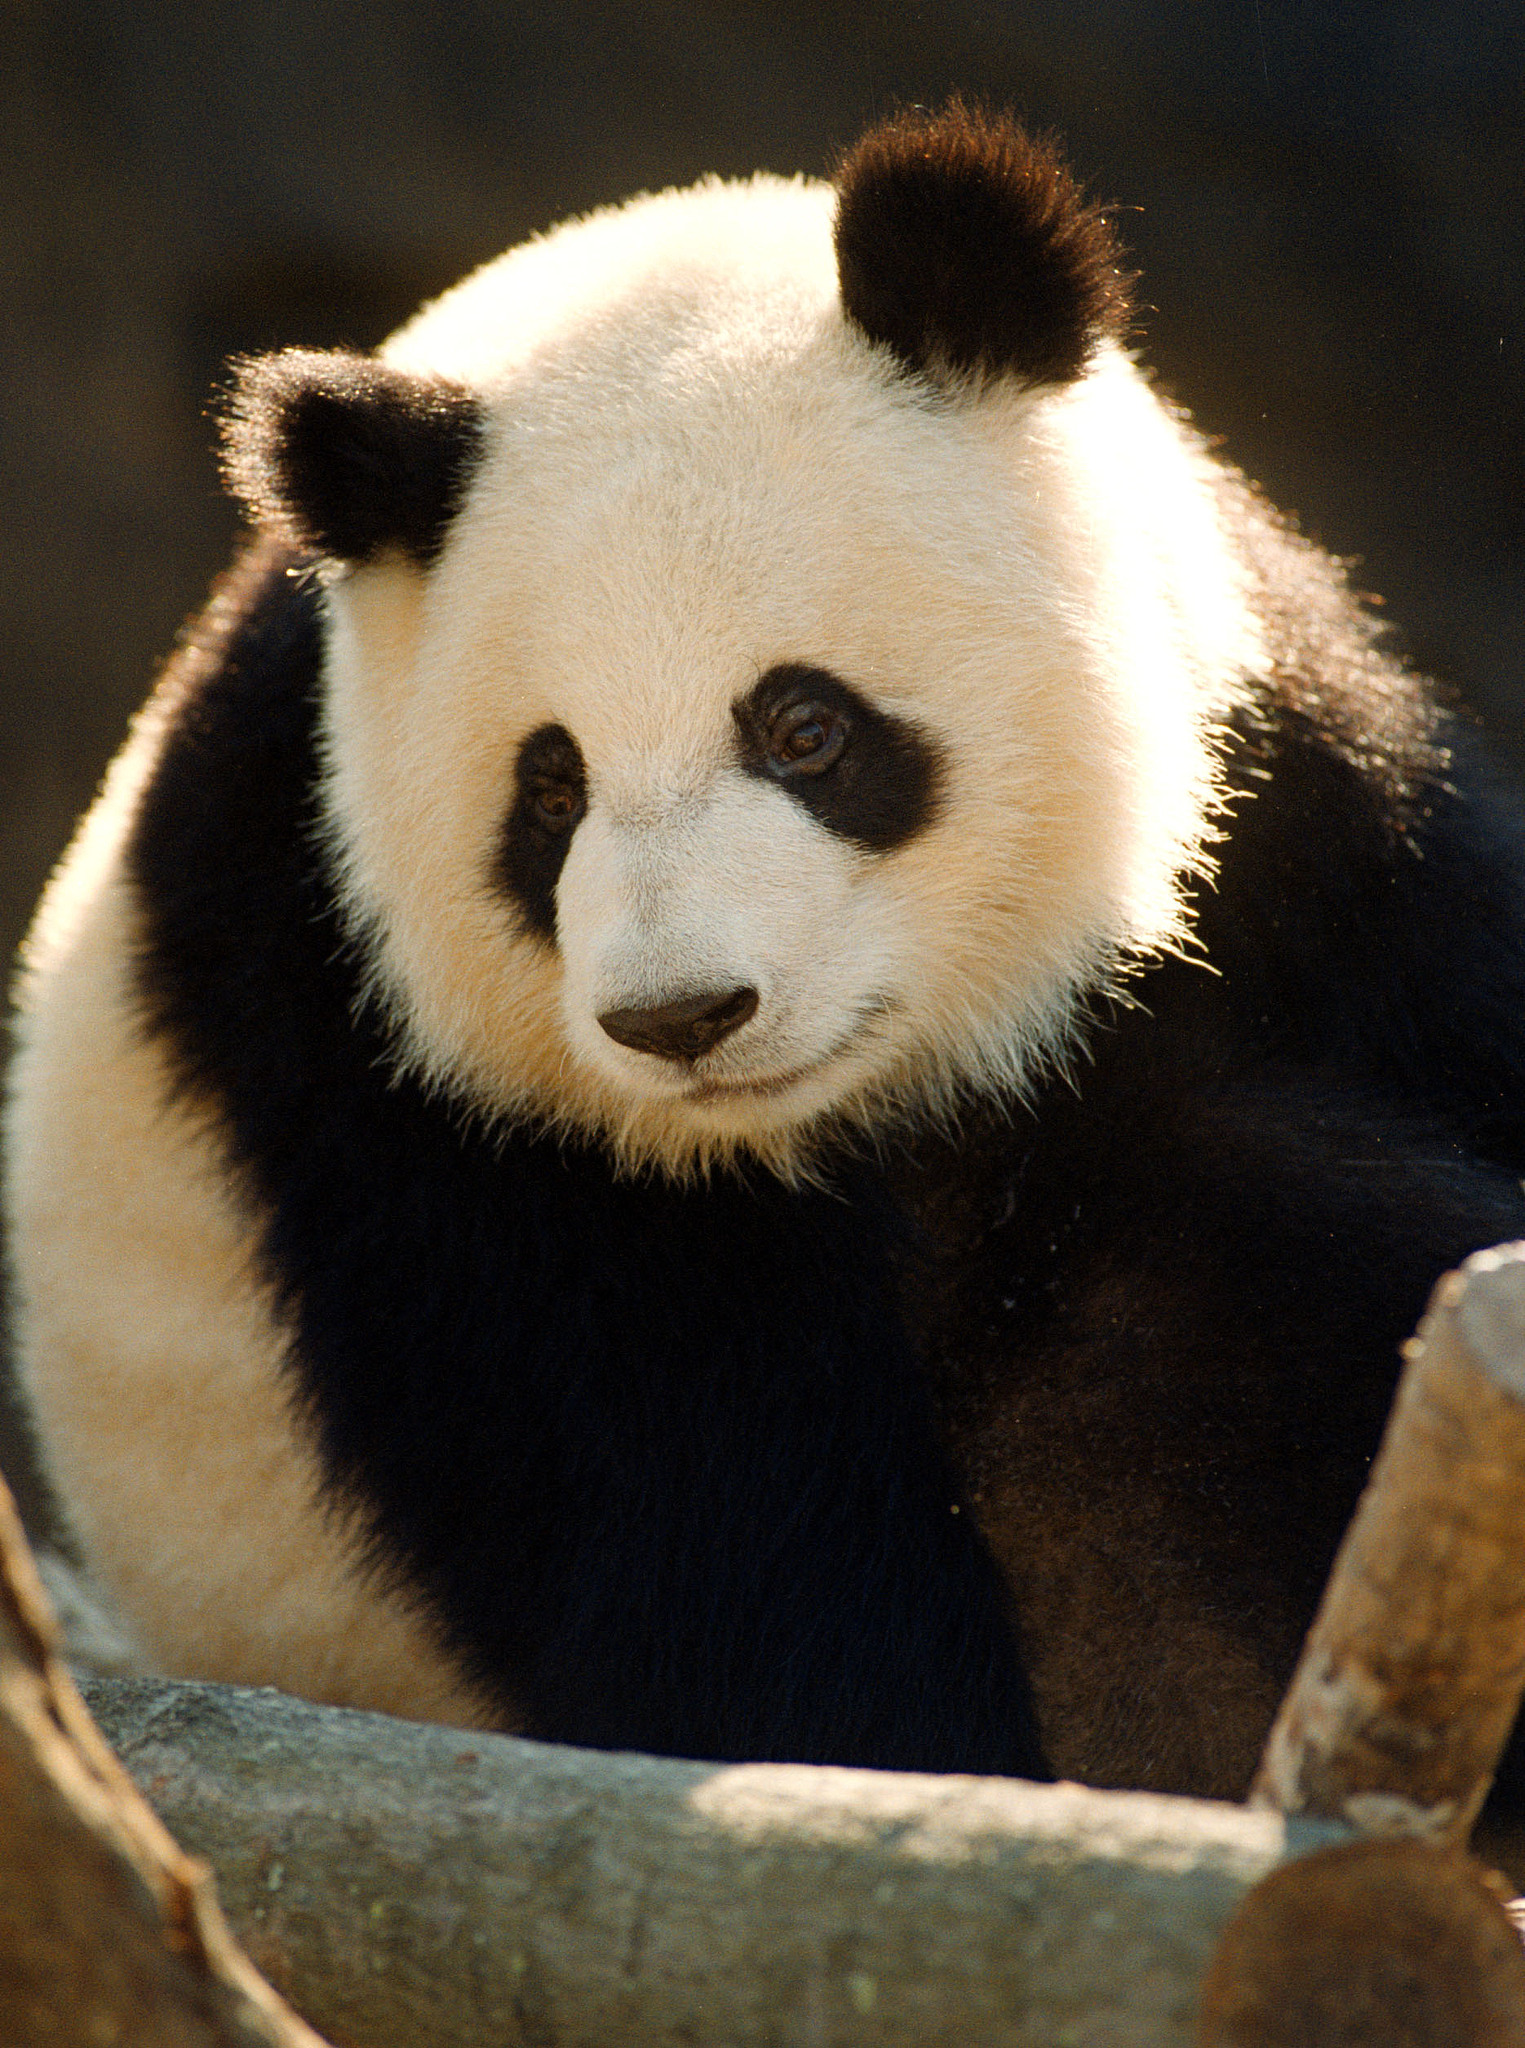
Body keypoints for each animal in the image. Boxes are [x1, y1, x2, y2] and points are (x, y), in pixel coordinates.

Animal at [2, 108, 1522, 1810]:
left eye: (804, 728)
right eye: (550, 790)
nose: (682, 1017)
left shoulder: (1282, 768)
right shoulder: (373, 1035)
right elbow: (700, 1527)